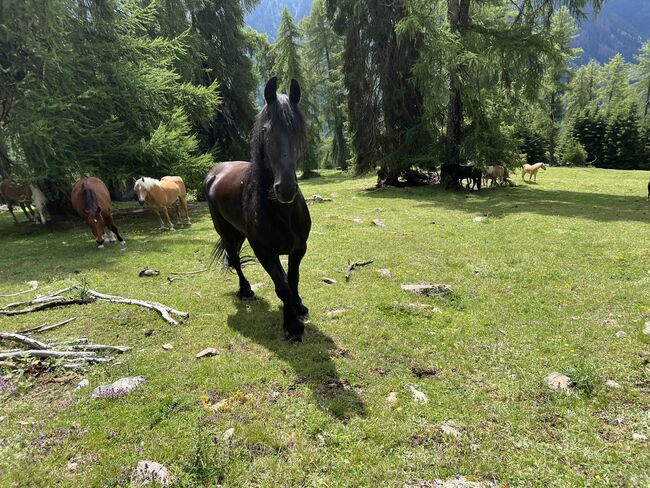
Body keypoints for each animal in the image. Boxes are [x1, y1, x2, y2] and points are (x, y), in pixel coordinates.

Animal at [205, 77, 312, 344]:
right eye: (265, 131)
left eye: (298, 131)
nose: (286, 189)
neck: (281, 211)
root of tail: (216, 171)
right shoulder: (264, 251)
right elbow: (282, 286)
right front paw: (291, 325)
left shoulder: (299, 248)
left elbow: (292, 279)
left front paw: (298, 307)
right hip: (225, 232)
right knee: (234, 260)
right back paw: (245, 291)